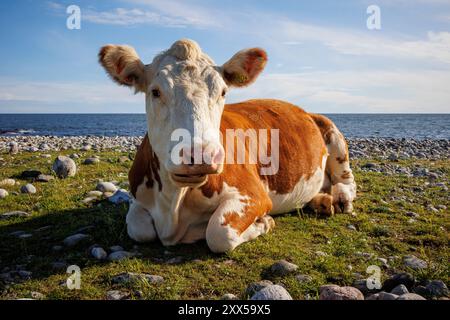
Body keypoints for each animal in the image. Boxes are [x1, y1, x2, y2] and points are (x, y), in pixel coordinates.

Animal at [98, 38, 356, 252]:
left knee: (346, 180)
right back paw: (321, 201)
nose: (199, 155)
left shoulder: (254, 195)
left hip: (332, 130)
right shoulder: (138, 198)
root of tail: (302, 109)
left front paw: (265, 222)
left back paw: (340, 198)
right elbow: (139, 229)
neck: (173, 207)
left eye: (223, 91)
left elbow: (218, 233)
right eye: (155, 91)